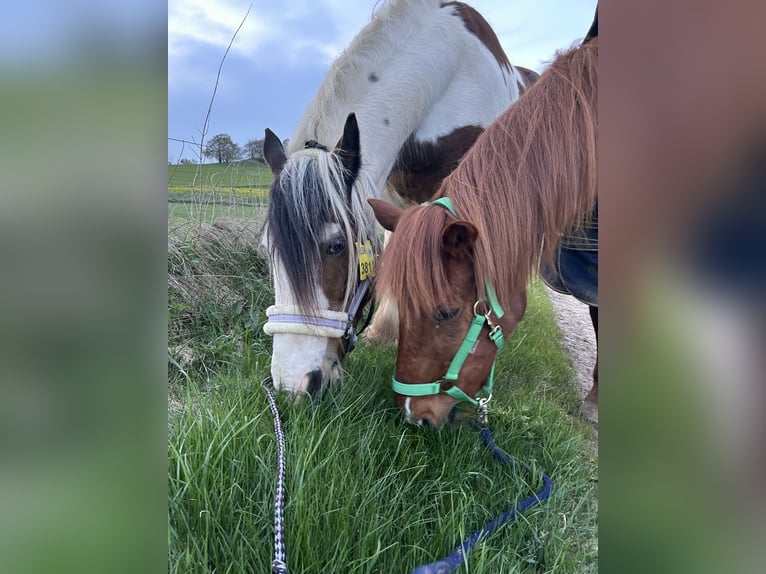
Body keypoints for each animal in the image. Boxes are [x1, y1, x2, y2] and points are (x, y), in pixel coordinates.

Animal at [264, 0, 540, 396]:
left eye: (336, 246)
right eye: (267, 249)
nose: (294, 384)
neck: (453, 68)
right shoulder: (390, 192)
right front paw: (386, 331)